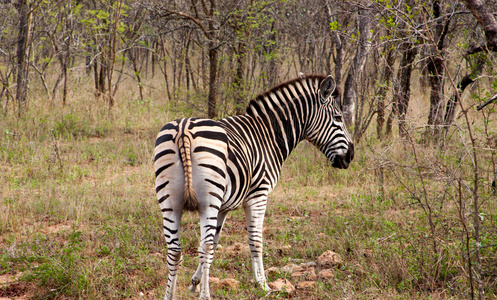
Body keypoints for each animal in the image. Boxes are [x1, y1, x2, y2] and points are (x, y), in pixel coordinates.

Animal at [154, 74, 352, 298]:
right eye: (338, 118)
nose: (351, 156)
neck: (269, 135)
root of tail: (184, 129)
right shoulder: (258, 195)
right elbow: (255, 241)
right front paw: (263, 284)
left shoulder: (223, 206)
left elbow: (216, 240)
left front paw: (195, 282)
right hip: (207, 201)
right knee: (203, 246)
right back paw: (206, 295)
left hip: (170, 201)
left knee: (175, 250)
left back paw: (169, 295)